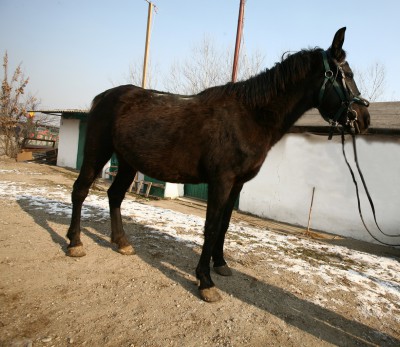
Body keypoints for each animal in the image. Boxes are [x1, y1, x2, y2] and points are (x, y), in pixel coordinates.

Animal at [65, 27, 368, 302]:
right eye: (347, 75)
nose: (363, 119)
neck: (249, 116)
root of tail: (104, 97)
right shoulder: (220, 181)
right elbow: (210, 226)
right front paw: (205, 281)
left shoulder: (237, 185)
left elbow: (224, 224)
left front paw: (220, 264)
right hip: (97, 153)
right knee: (80, 191)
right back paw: (75, 243)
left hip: (128, 162)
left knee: (115, 196)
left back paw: (122, 243)